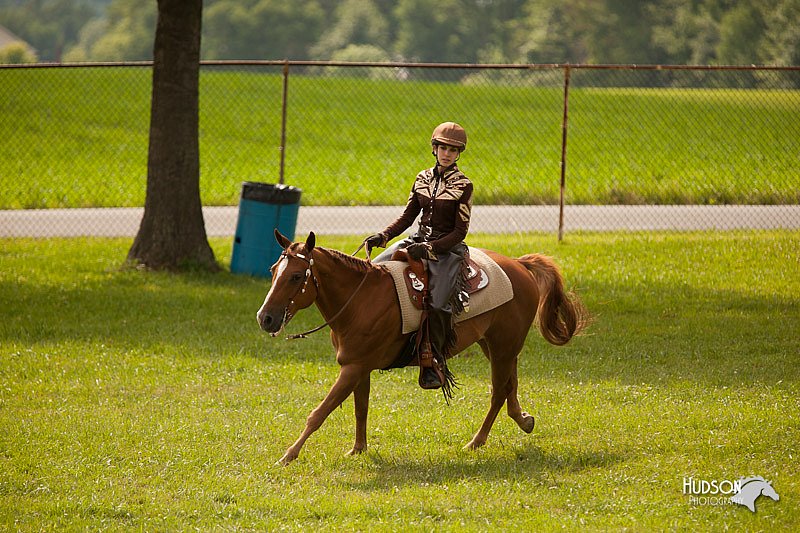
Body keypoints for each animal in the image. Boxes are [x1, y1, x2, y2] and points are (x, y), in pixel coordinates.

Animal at [256, 231, 588, 464]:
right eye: (272, 270)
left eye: (296, 276)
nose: (265, 318)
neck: (360, 299)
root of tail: (518, 265)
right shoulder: (358, 367)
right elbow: (360, 408)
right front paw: (358, 450)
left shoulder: (352, 368)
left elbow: (320, 412)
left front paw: (288, 455)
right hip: (497, 346)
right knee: (510, 385)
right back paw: (524, 420)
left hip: (503, 346)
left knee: (497, 392)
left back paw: (476, 441)